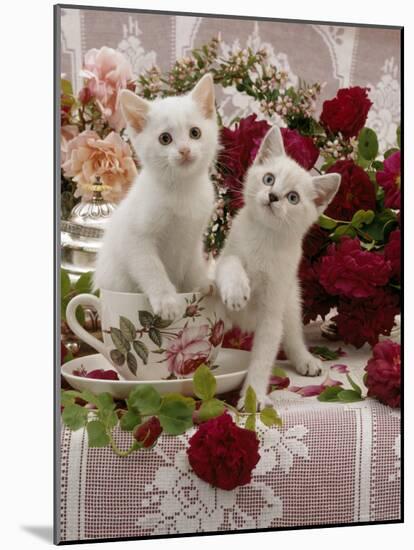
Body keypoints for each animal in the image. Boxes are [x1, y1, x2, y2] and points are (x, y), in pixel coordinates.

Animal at [92, 72, 218, 320]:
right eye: (165, 139)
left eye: (195, 133)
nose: (185, 150)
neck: (182, 190)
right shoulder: (135, 239)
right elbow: (151, 269)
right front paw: (167, 300)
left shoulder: (193, 237)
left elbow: (194, 263)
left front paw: (201, 282)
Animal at [213, 125, 340, 410]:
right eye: (269, 179)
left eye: (293, 198)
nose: (273, 196)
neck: (264, 237)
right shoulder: (225, 255)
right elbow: (232, 263)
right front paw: (237, 291)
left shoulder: (272, 310)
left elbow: (263, 358)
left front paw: (254, 396)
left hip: (291, 300)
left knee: (292, 334)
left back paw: (305, 360)